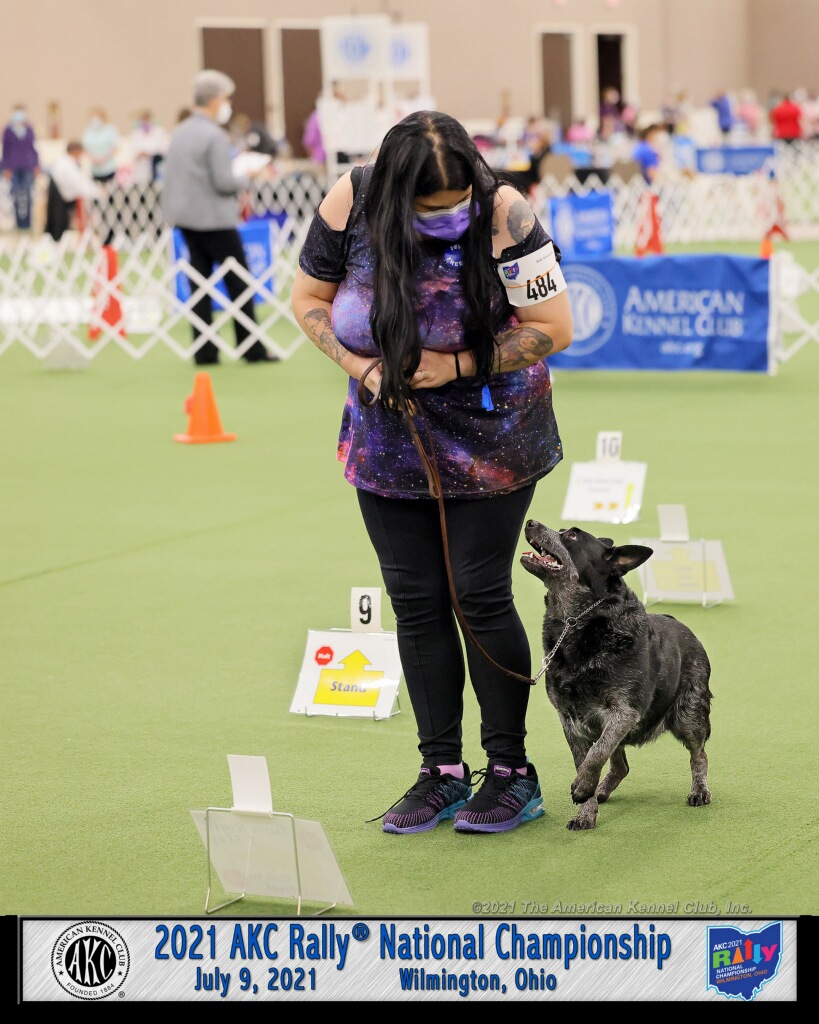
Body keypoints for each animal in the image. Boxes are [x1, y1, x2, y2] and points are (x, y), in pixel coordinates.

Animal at [524, 524, 708, 827]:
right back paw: (600, 791)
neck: (577, 623)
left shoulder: (623, 711)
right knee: (620, 765)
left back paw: (700, 791)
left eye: (571, 535)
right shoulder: (570, 718)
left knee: (699, 755)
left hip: (689, 715)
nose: (530, 523)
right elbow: (588, 758)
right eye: (560, 530)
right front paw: (586, 809)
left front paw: (583, 786)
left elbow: (597, 753)